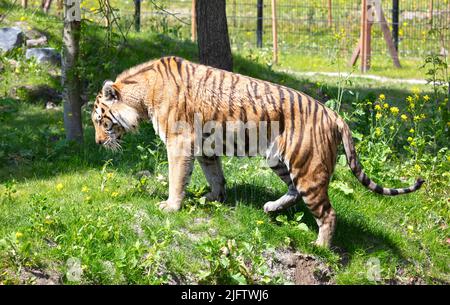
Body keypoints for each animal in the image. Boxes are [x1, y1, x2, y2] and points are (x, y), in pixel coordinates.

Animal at [92, 56, 426, 247]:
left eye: (101, 121)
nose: (96, 143)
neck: (142, 95)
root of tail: (335, 115)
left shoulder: (179, 142)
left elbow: (177, 178)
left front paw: (171, 206)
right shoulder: (204, 146)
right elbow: (214, 174)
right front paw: (213, 198)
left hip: (308, 165)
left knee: (327, 212)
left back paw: (320, 246)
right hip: (280, 159)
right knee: (294, 192)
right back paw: (270, 208)